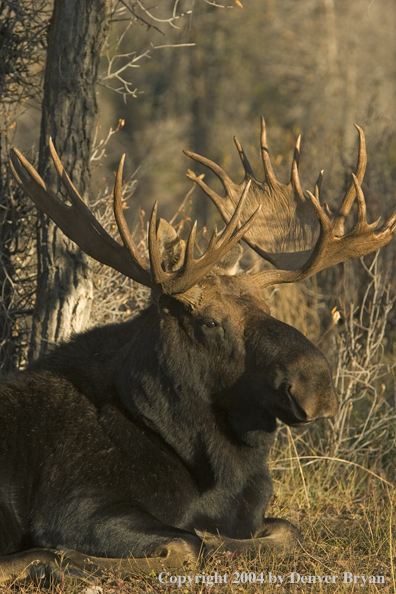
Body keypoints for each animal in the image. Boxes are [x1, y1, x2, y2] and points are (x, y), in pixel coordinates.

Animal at [0, 118, 396, 580]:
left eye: (268, 306)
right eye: (209, 322)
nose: (316, 384)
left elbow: (287, 530)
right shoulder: (73, 505)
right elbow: (187, 543)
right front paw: (65, 558)